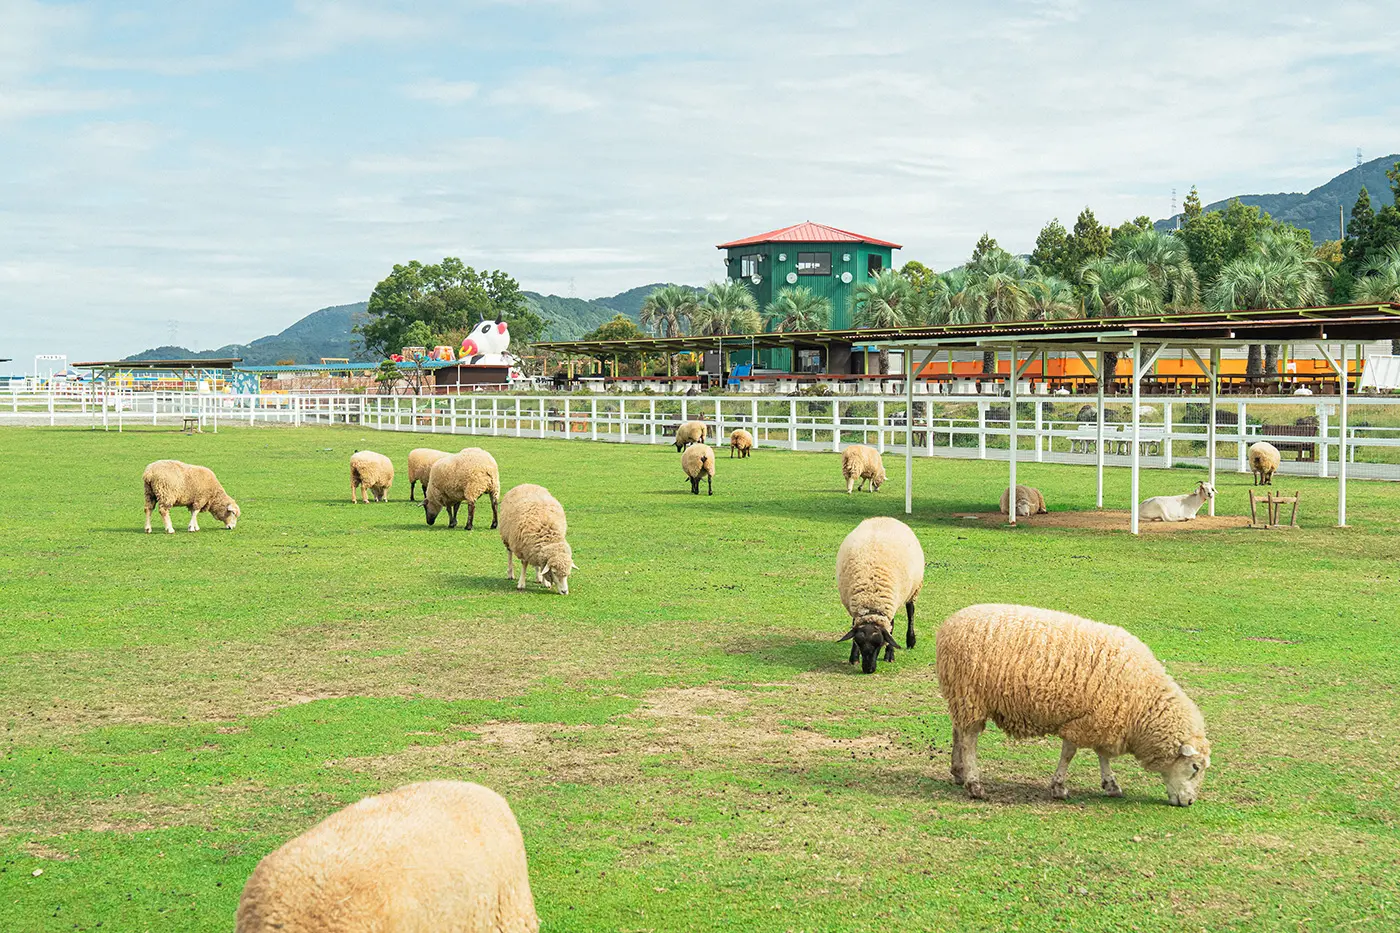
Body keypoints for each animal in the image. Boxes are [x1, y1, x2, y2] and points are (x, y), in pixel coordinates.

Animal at [835, 517, 924, 674]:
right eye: (858, 643)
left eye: (880, 644)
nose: (868, 669)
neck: (871, 602)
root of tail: (883, 517)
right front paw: (854, 658)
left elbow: (891, 629)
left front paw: (890, 655)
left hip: (913, 589)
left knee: (911, 611)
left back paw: (911, 640)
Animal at [935, 604, 1212, 806]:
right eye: (1195, 767)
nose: (1189, 802)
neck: (1143, 704)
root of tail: (949, 624)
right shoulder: (1083, 721)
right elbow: (1069, 753)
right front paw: (1059, 788)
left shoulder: (1103, 718)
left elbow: (1102, 755)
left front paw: (1111, 784)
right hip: (970, 695)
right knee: (969, 739)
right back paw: (974, 784)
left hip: (962, 698)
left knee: (958, 731)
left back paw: (958, 772)